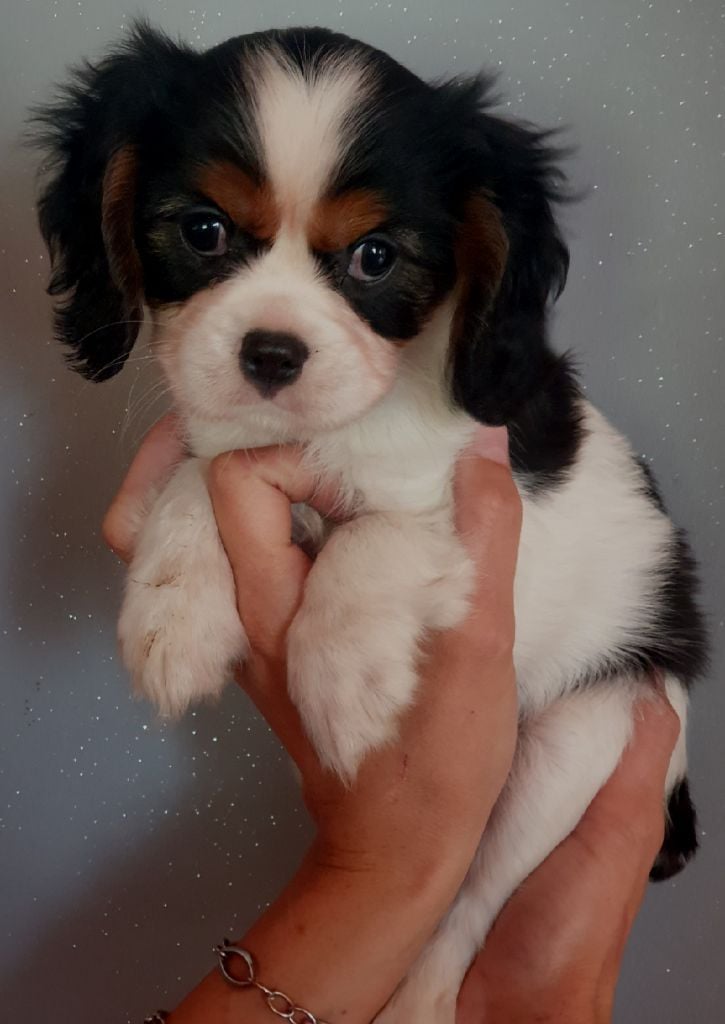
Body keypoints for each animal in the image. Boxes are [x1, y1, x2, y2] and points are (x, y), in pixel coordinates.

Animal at [35, 24, 708, 1024]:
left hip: (582, 734)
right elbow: (207, 471)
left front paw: (343, 674)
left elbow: (385, 526)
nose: (270, 354)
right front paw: (173, 614)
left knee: (470, 904)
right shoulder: (232, 441)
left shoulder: (482, 487)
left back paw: (422, 999)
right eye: (203, 231)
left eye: (375, 257)